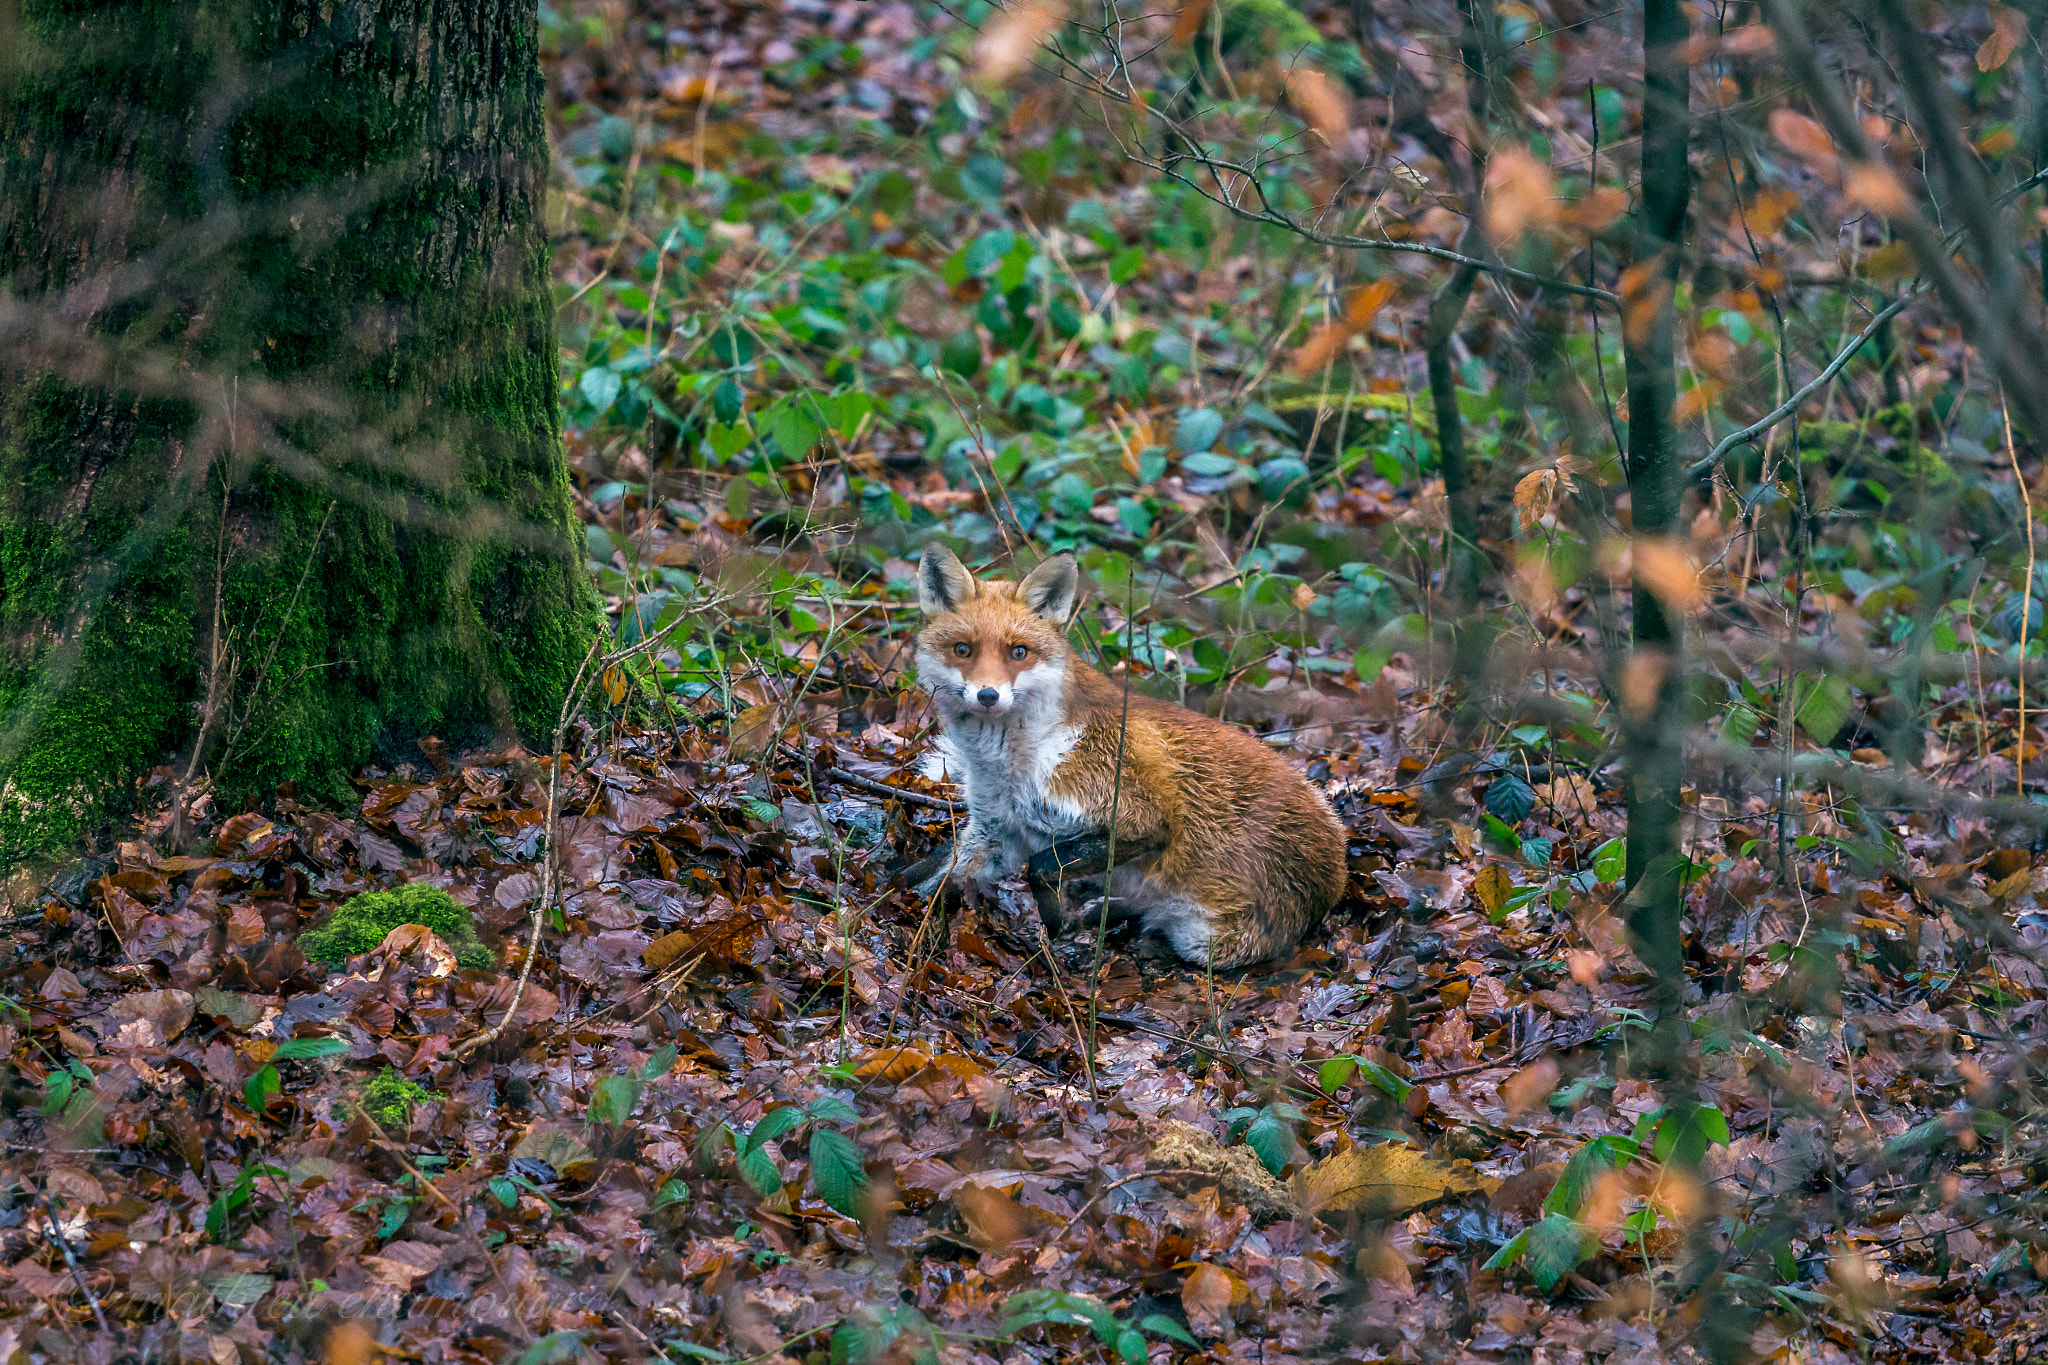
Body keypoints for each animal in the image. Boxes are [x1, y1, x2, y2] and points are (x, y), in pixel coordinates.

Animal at [913, 544, 1343, 970]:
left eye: (1019, 652)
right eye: (963, 650)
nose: (987, 695)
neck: (1016, 761)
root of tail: (1337, 873)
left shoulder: (1139, 818)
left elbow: (1041, 868)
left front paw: (1055, 929)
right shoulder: (997, 830)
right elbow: (931, 874)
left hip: (1206, 942)